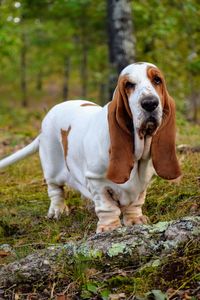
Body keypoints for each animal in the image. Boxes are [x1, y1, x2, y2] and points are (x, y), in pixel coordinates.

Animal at [0, 62, 181, 232]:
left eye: (157, 80)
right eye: (129, 84)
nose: (150, 103)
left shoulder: (142, 183)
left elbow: (135, 203)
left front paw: (136, 220)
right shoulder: (97, 181)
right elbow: (107, 207)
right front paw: (109, 227)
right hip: (52, 167)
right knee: (55, 190)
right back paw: (58, 211)